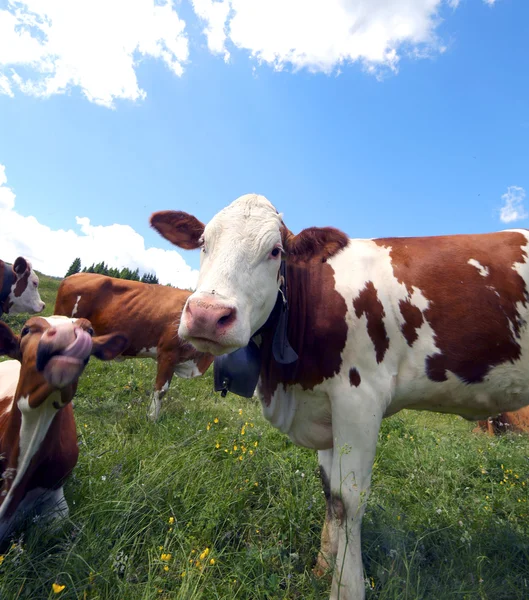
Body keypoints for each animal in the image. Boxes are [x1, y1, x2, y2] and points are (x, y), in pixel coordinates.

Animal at [150, 195, 529, 600]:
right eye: (204, 243)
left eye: (275, 251)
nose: (208, 314)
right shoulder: (325, 406)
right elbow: (329, 492)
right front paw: (323, 566)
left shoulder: (359, 398)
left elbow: (349, 499)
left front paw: (346, 587)